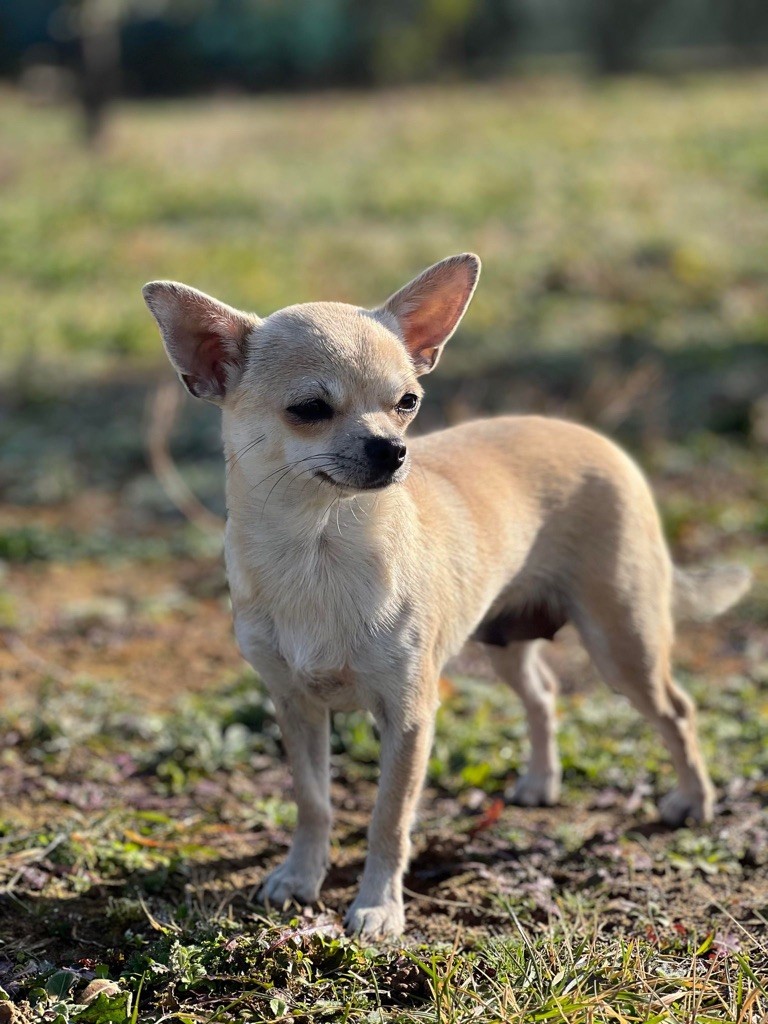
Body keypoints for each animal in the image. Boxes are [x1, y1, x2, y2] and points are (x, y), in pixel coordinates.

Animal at [144, 253, 753, 937]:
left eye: (407, 402)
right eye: (308, 409)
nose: (393, 449)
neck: (320, 548)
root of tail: (599, 441)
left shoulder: (409, 715)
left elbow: (388, 818)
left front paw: (378, 907)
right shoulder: (295, 707)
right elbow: (313, 801)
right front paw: (300, 877)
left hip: (624, 643)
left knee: (677, 710)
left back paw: (693, 801)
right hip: (507, 641)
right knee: (544, 694)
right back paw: (541, 781)